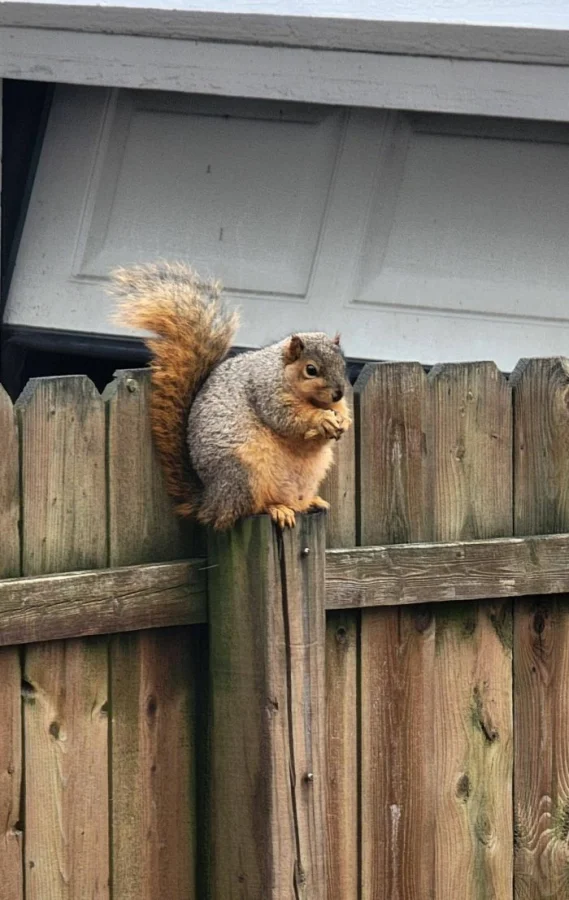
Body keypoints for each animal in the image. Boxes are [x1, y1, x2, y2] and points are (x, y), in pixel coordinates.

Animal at [110, 261, 352, 530]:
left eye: (343, 364)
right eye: (311, 370)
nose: (338, 392)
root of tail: (210, 502)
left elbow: (338, 414)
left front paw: (343, 421)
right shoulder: (265, 391)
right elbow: (287, 417)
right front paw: (322, 419)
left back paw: (310, 502)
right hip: (243, 474)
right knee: (248, 509)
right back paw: (277, 509)